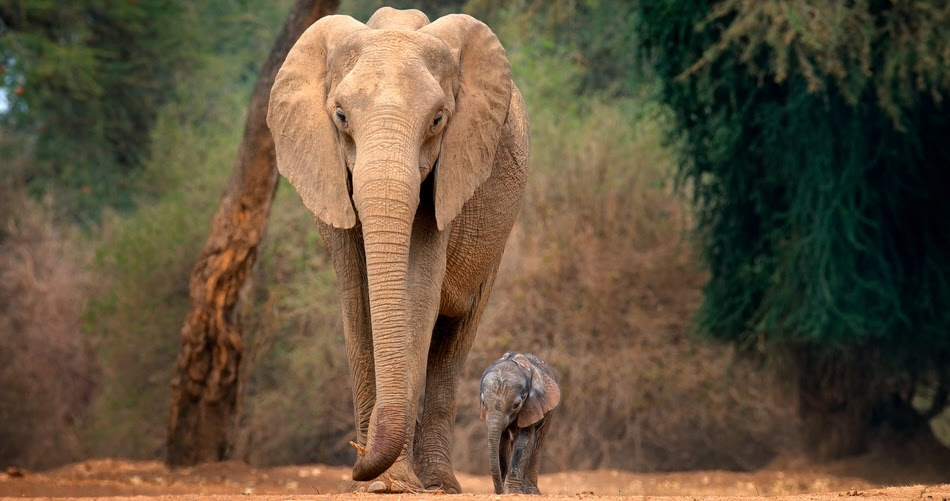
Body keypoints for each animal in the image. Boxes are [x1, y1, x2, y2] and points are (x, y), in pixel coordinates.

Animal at [268, 6, 532, 492]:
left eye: (438, 120)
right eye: (340, 116)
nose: (355, 458)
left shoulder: (448, 173)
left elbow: (418, 295)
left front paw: (393, 482)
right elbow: (358, 303)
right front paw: (371, 485)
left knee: (456, 336)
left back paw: (441, 484)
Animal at [480, 352, 560, 492]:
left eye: (516, 405)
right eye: (483, 403)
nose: (499, 491)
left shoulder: (532, 405)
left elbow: (524, 441)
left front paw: (512, 492)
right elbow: (502, 441)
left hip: (550, 409)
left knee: (538, 442)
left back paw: (531, 491)